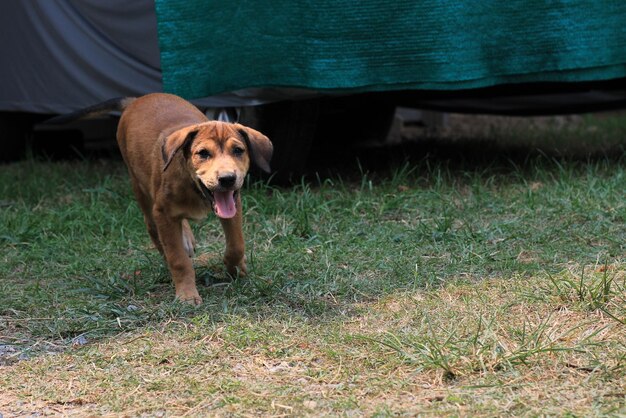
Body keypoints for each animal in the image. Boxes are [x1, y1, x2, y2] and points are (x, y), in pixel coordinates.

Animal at [47, 94, 272, 304]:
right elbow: (178, 259)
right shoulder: (162, 212)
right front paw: (187, 294)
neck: (193, 186)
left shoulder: (233, 204)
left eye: (238, 150)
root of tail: (137, 100)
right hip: (140, 188)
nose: (227, 179)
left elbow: (236, 245)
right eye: (203, 153)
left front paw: (236, 270)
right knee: (153, 229)